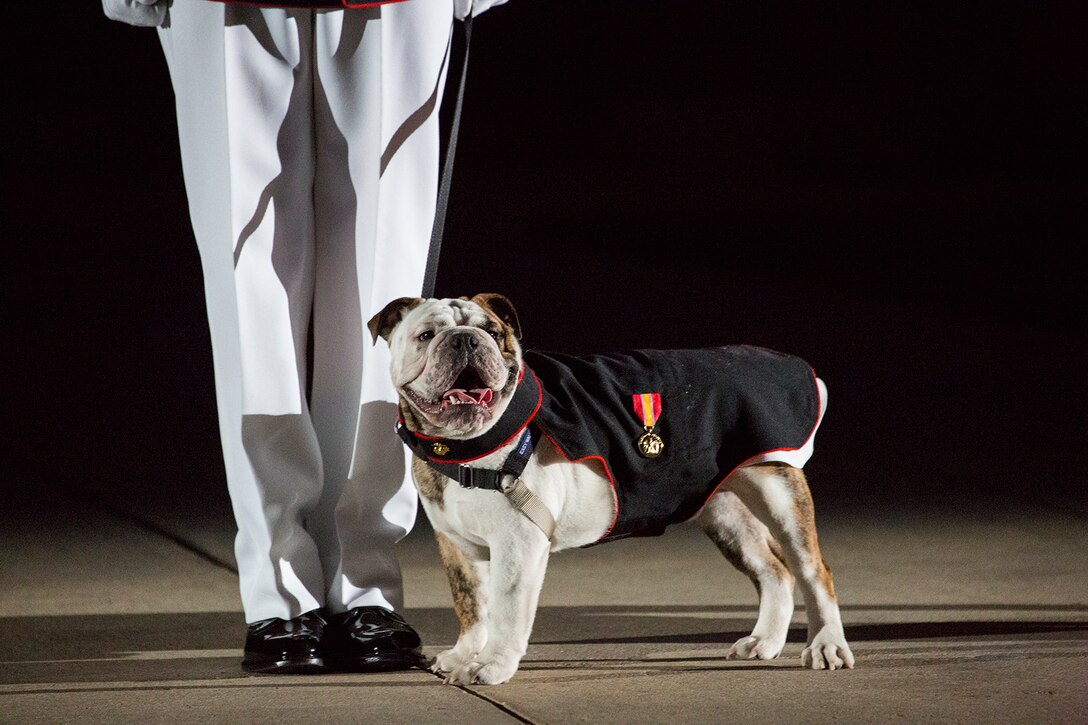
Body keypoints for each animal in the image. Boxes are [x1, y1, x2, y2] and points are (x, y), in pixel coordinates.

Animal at [369, 291, 852, 679]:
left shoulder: (518, 543)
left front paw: (491, 666)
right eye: (426, 335)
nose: (466, 339)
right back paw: (765, 642)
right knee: (773, 570)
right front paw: (466, 653)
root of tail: (790, 364)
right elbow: (472, 605)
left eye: (492, 332)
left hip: (779, 491)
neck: (464, 444)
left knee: (812, 569)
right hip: (726, 512)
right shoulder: (458, 545)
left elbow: (505, 609)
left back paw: (826, 645)